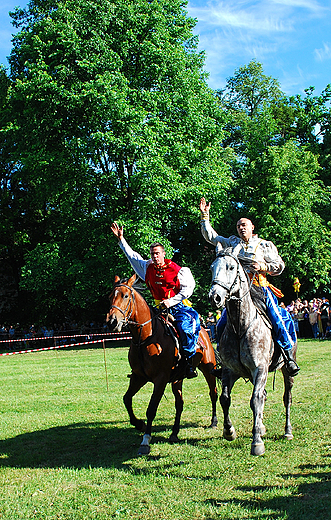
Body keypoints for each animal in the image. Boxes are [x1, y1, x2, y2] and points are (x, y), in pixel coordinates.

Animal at [107, 274, 219, 458]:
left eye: (125, 296)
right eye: (110, 296)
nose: (112, 321)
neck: (146, 338)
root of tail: (204, 331)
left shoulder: (160, 380)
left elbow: (151, 409)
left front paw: (145, 441)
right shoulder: (138, 377)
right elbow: (126, 399)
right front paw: (138, 424)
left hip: (208, 370)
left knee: (213, 393)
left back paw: (214, 421)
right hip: (177, 379)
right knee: (180, 403)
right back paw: (174, 433)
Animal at [210, 244, 296, 456]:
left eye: (231, 267)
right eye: (212, 267)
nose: (215, 297)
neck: (241, 326)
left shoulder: (260, 369)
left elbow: (255, 400)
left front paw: (257, 443)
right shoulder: (230, 371)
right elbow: (225, 398)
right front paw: (229, 431)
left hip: (286, 370)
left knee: (287, 398)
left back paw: (287, 431)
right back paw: (262, 426)